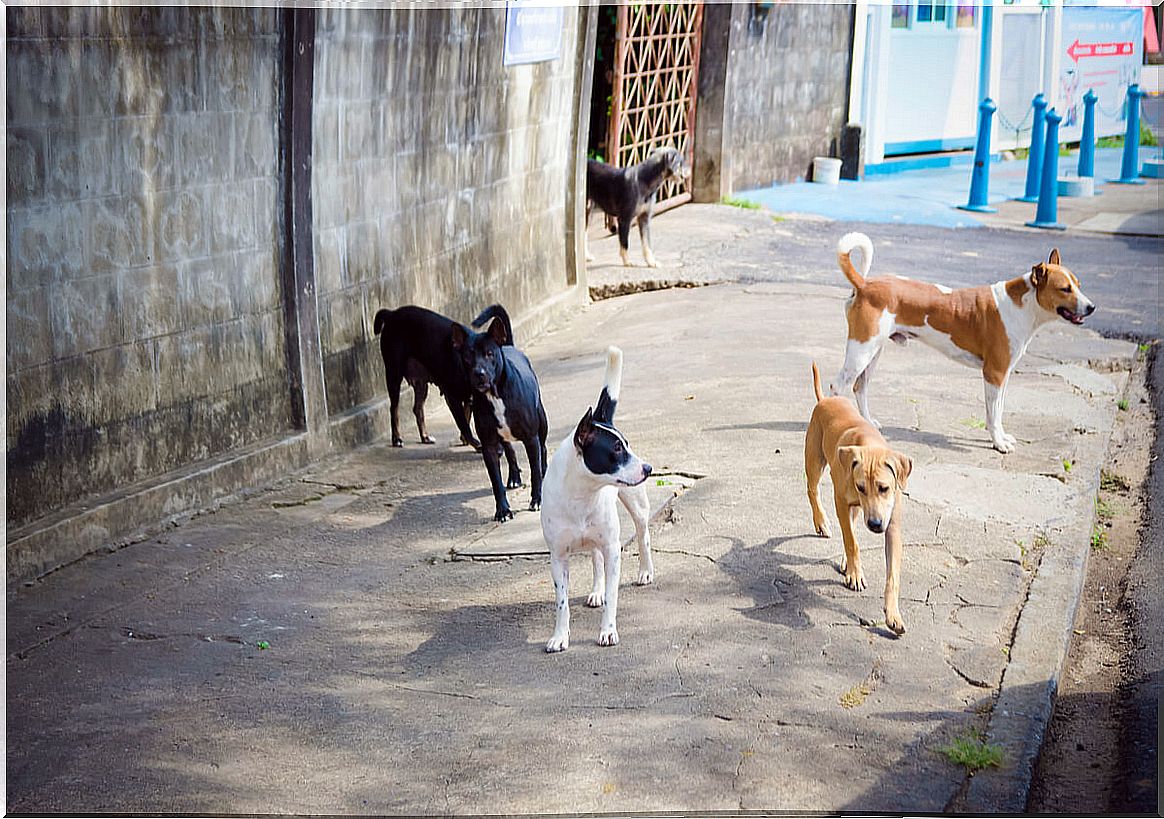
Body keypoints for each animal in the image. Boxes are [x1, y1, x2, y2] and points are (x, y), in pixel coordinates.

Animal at [372, 304, 514, 451]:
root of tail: (391, 314)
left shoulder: (470, 399)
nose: (480, 373)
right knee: (394, 409)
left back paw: (425, 437)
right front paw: (474, 442)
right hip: (394, 375)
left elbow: (466, 417)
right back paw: (397, 439)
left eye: (490, 355)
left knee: (417, 408)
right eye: (467, 358)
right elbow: (463, 423)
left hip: (421, 385)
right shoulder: (452, 398)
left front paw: (465, 439)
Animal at [451, 316, 547, 521]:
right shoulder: (488, 446)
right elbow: (496, 481)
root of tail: (508, 345)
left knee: (542, 450)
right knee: (510, 451)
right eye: (467, 357)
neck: (494, 394)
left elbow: (534, 471)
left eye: (489, 354)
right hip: (502, 438)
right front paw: (503, 510)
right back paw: (514, 477)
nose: (479, 373)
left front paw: (537, 500)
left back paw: (545, 471)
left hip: (542, 423)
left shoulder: (531, 438)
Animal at [537, 346, 651, 651]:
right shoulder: (558, 558)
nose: (648, 469)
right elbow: (562, 603)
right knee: (595, 559)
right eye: (616, 449)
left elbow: (613, 597)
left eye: (627, 445)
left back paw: (645, 572)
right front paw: (559, 636)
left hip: (637, 507)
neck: (583, 493)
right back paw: (597, 590)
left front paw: (608, 631)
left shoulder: (613, 549)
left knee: (643, 536)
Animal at [805, 360, 912, 637]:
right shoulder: (842, 501)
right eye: (860, 486)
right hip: (814, 459)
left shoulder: (892, 524)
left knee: (850, 525)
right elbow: (852, 541)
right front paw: (855, 573)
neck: (870, 444)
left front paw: (893, 615)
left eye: (884, 488)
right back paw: (821, 522)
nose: (874, 524)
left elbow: (892, 574)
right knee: (813, 490)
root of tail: (825, 400)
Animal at [833, 231, 1094, 453]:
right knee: (839, 387)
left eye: (1079, 285)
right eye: (1065, 289)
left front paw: (1001, 437)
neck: (1020, 305)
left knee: (860, 387)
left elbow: (998, 411)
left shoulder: (1003, 375)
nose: (1092, 307)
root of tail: (865, 284)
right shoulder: (994, 373)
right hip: (861, 351)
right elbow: (993, 414)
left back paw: (867, 422)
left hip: (873, 352)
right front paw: (998, 443)